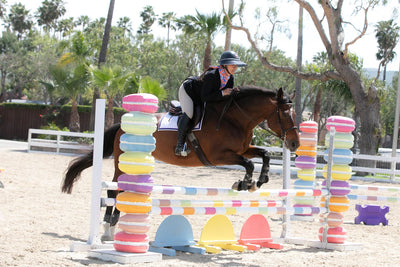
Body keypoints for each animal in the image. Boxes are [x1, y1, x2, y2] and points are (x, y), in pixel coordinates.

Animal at [62, 87, 298, 242]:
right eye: (285, 114)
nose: (294, 143)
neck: (235, 119)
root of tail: (121, 124)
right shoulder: (218, 156)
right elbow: (248, 164)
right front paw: (244, 184)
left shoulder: (242, 149)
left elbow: (264, 154)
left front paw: (261, 180)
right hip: (123, 162)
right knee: (113, 190)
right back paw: (107, 229)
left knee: (121, 189)